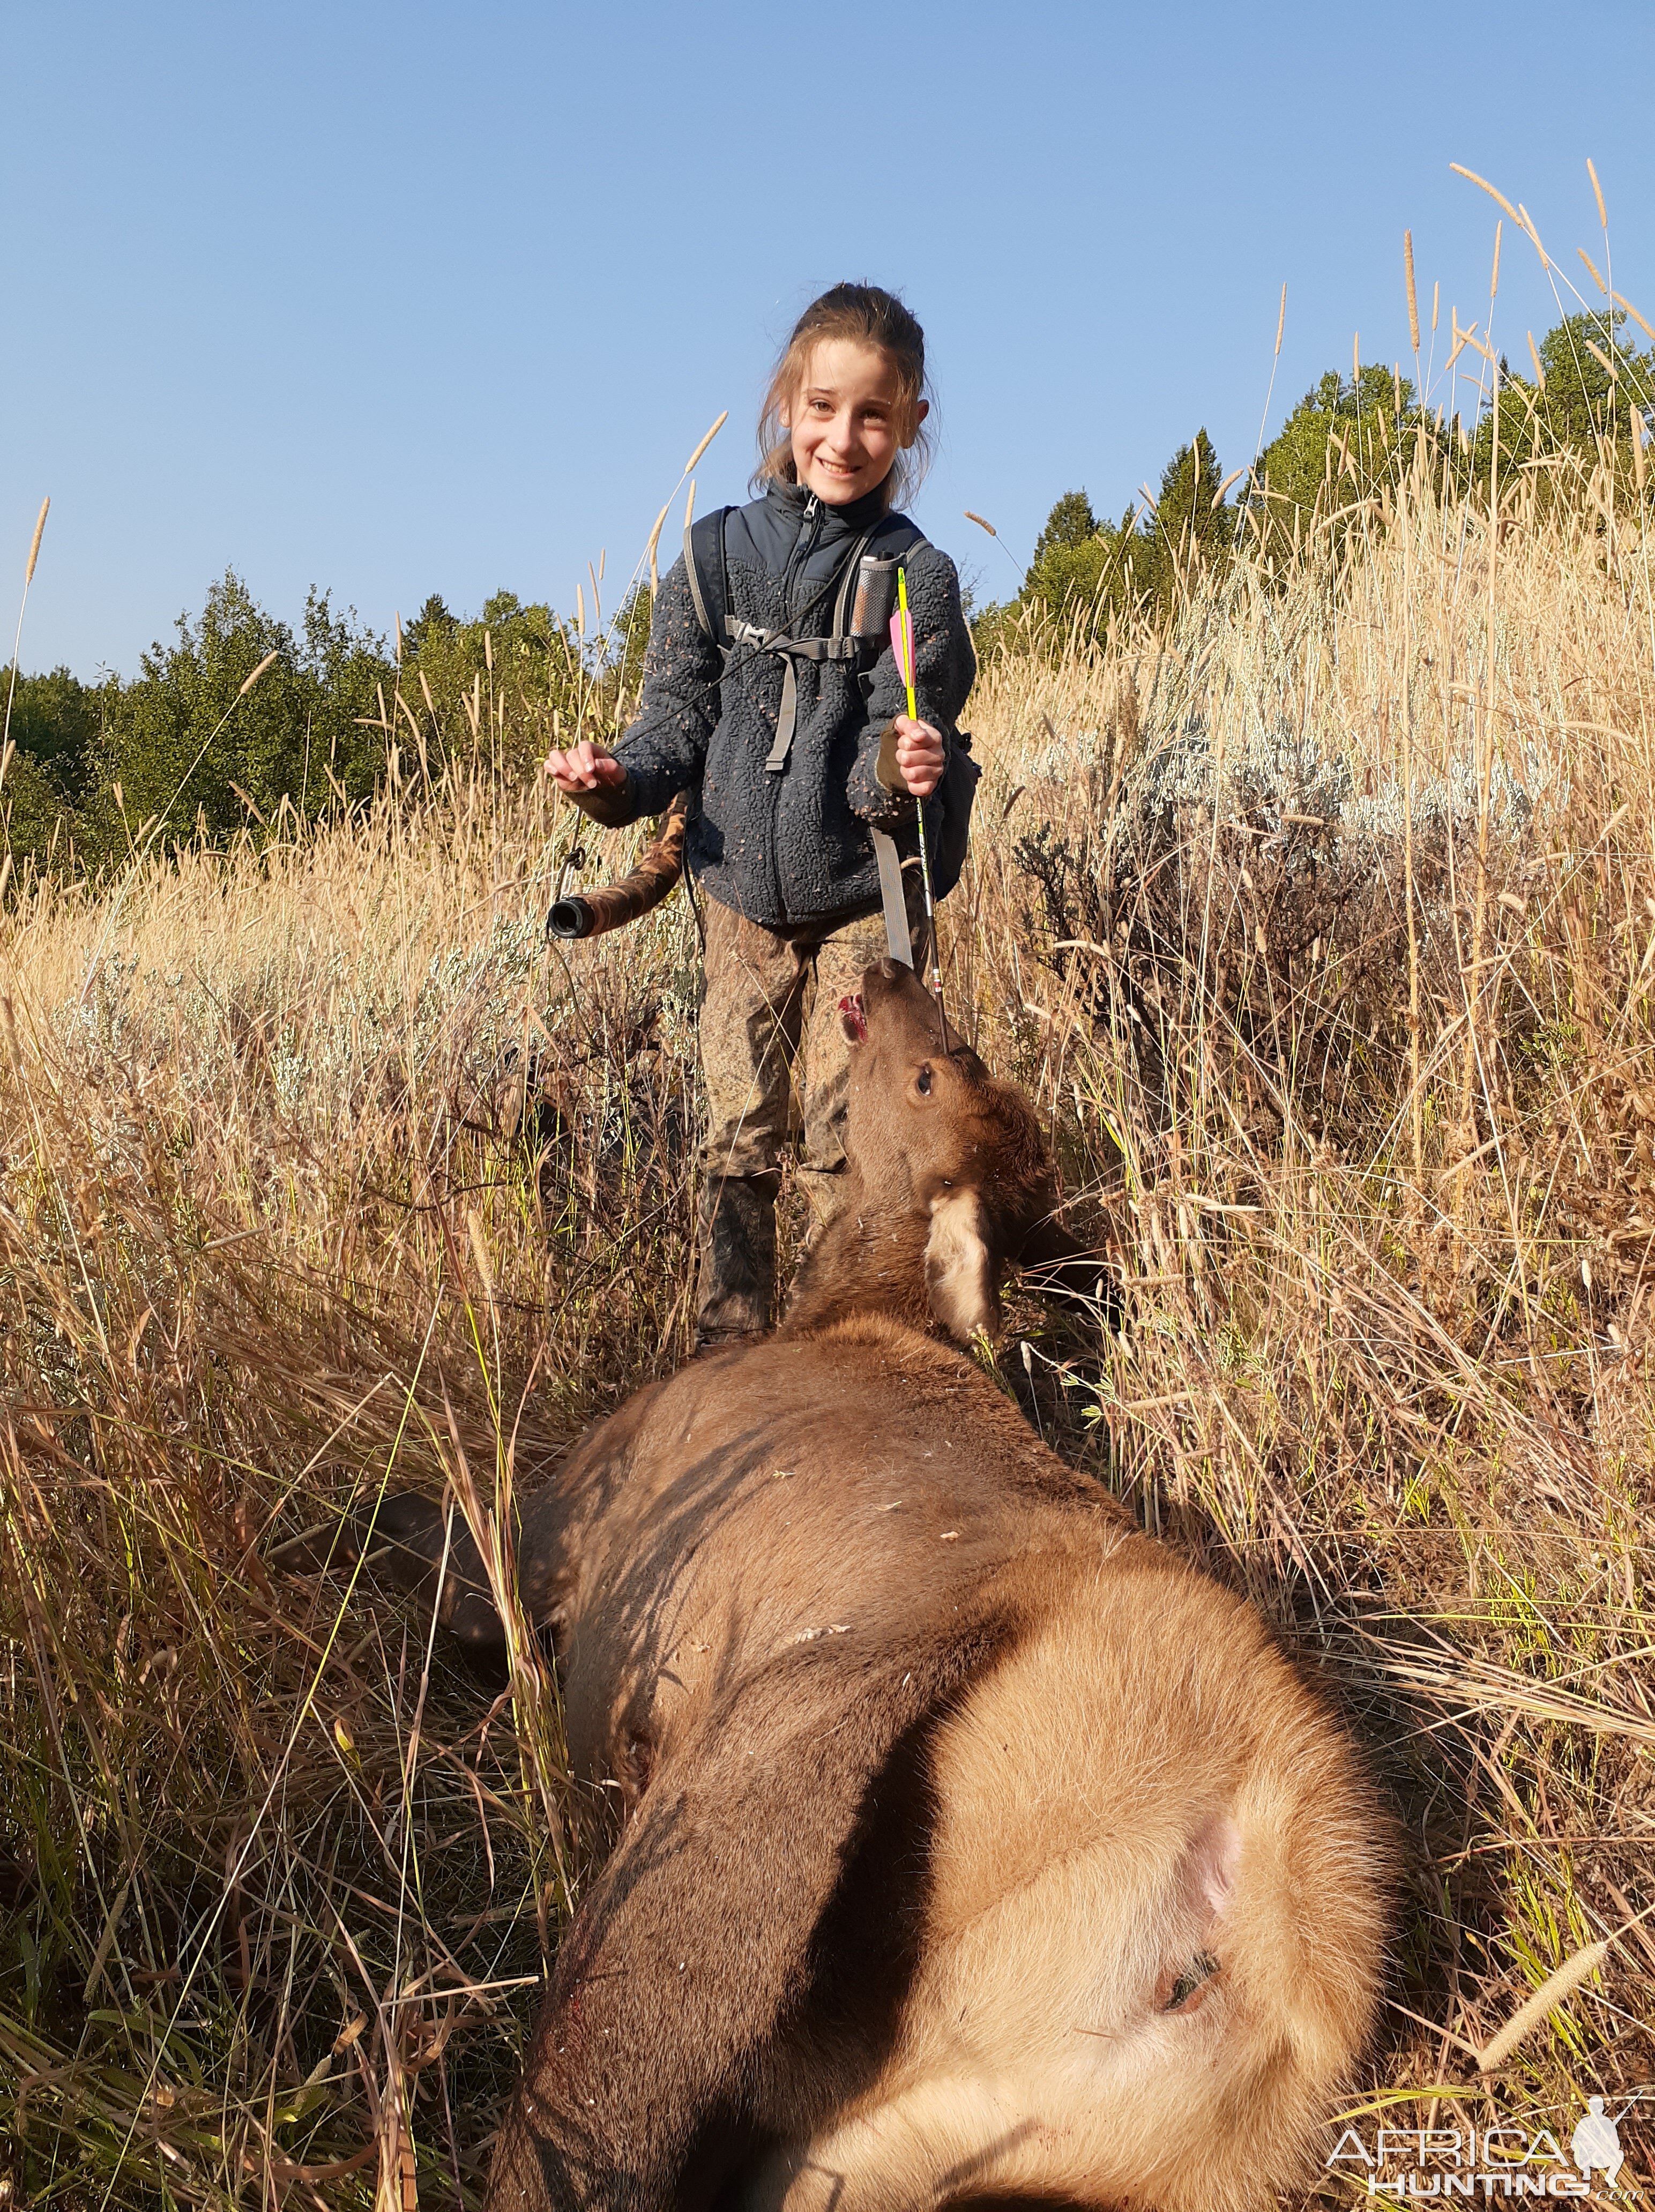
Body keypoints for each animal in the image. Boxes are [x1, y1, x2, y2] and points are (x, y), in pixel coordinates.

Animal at [358, 960, 1381, 2203]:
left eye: (935, 1070)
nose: (891, 968)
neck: (851, 1298)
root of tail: (1249, 1959)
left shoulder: (580, 1505)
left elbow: (457, 1551)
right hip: (897, 2137)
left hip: (731, 1808)